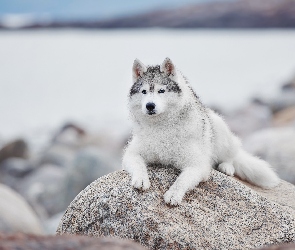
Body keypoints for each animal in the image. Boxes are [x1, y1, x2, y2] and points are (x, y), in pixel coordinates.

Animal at [122, 57, 280, 205]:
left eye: (161, 91)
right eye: (144, 91)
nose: (150, 105)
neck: (161, 126)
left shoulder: (197, 165)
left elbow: (182, 180)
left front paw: (173, 194)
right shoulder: (132, 153)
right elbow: (138, 164)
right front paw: (141, 179)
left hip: (220, 132)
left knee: (231, 156)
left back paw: (226, 167)